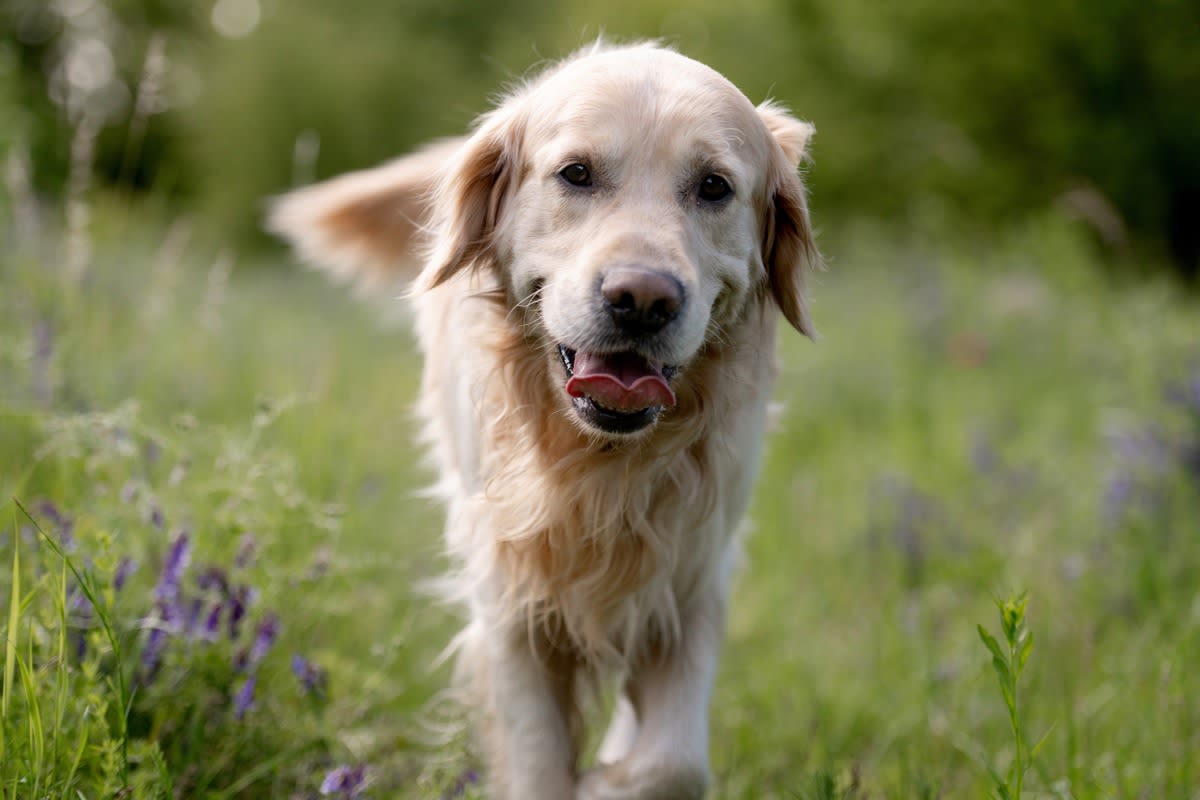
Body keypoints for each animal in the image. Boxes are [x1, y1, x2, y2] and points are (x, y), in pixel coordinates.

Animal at [267, 40, 820, 796]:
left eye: (714, 187)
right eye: (576, 174)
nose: (642, 298)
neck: (596, 465)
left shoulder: (695, 572)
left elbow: (672, 761)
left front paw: (609, 780)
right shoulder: (510, 600)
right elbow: (537, 758)